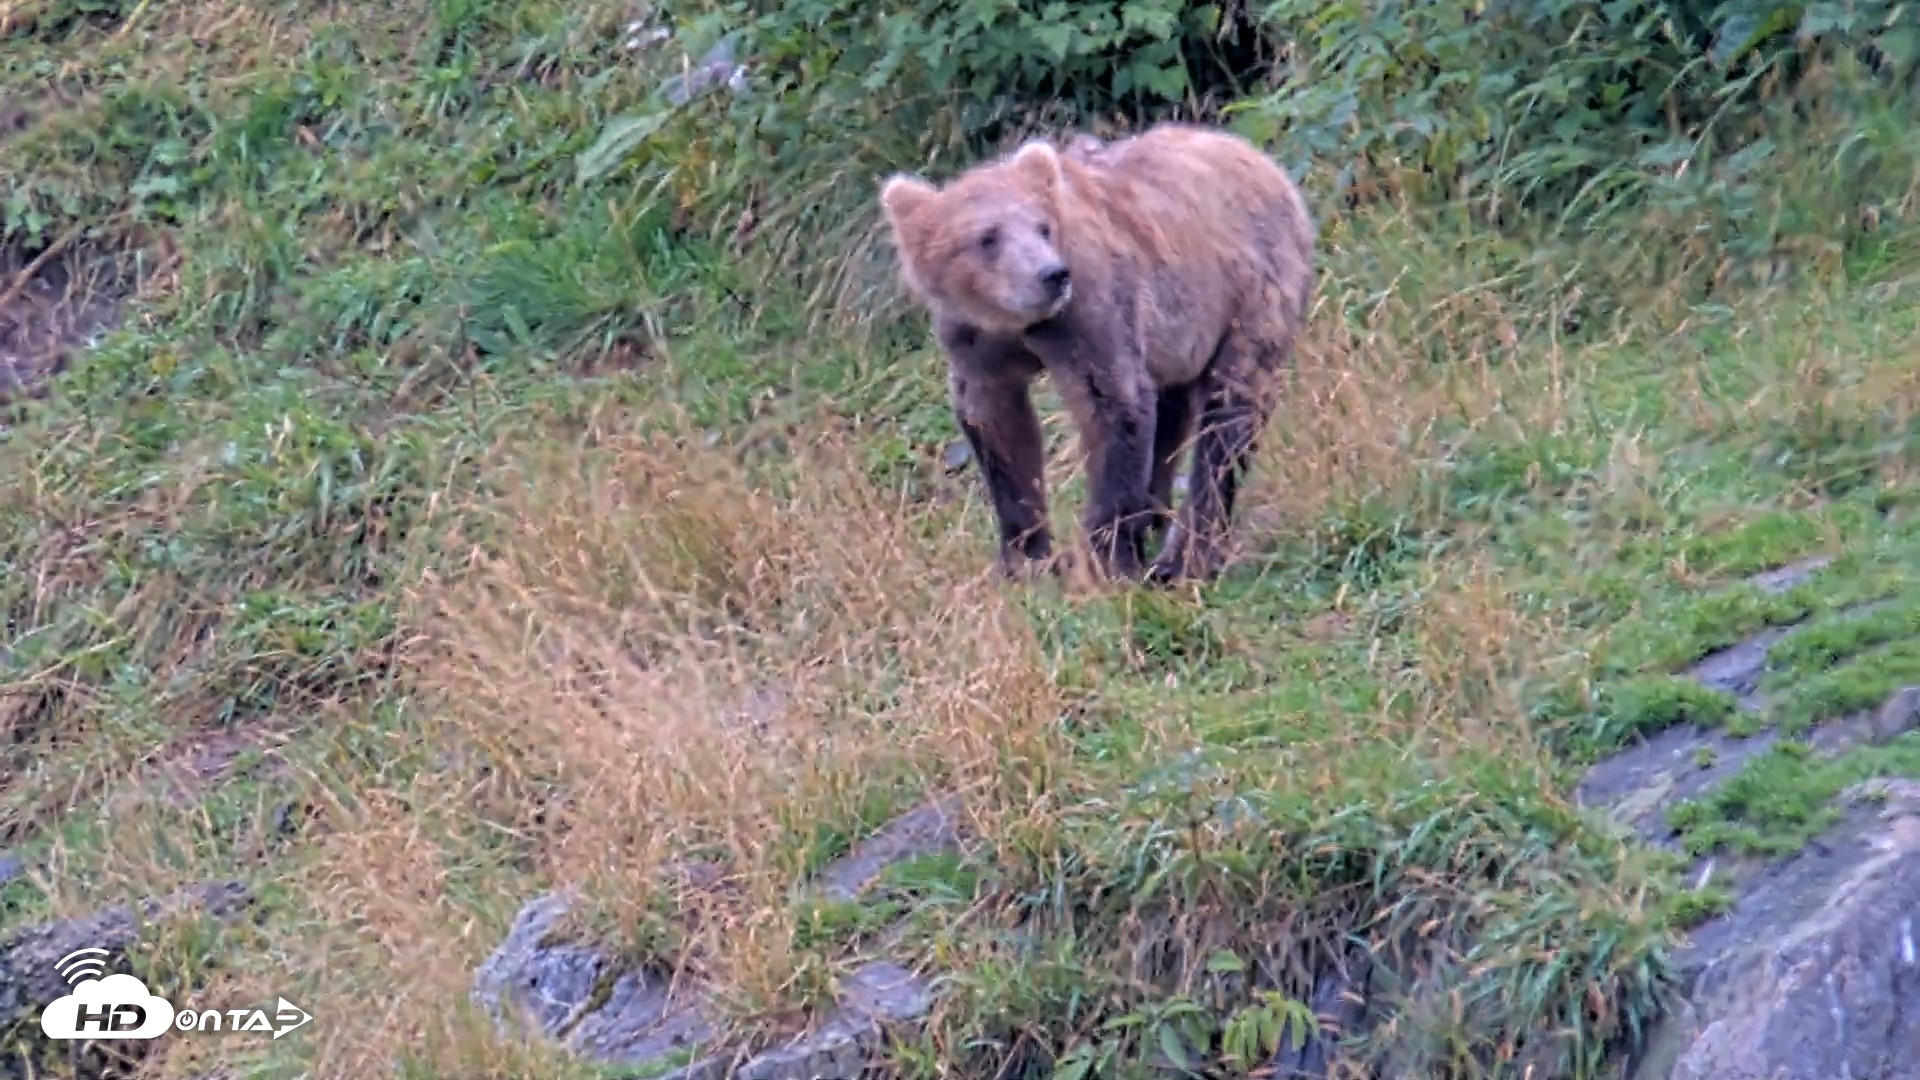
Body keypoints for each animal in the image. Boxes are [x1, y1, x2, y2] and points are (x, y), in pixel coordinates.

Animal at [877, 122, 1317, 584]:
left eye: (1042, 227)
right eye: (987, 237)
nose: (1051, 274)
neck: (1016, 324)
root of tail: (1266, 163)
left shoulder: (1088, 312)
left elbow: (1113, 404)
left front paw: (1109, 558)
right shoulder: (976, 345)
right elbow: (999, 429)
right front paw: (1022, 558)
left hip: (1250, 292)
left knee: (1228, 420)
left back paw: (1182, 558)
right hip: (1181, 333)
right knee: (1172, 412)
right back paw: (1154, 514)